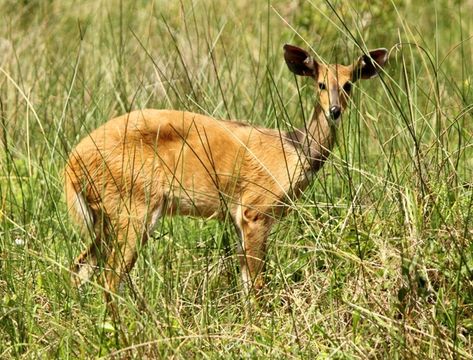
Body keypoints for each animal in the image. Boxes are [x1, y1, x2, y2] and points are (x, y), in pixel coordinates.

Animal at [64, 44, 386, 310]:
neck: (292, 151)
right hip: (133, 208)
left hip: (108, 217)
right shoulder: (255, 210)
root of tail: (71, 165)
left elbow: (245, 282)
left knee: (80, 268)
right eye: (320, 83)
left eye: (348, 84)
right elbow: (256, 284)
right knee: (109, 279)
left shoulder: (238, 217)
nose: (334, 110)